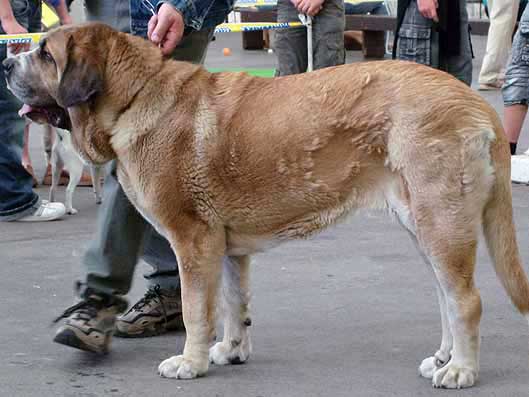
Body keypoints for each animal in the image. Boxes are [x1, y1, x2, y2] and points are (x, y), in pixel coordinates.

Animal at [4, 23, 528, 388]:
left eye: (46, 54)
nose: (8, 64)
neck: (134, 97)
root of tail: (476, 103)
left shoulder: (193, 241)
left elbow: (196, 309)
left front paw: (190, 362)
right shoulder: (225, 249)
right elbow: (235, 302)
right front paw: (231, 350)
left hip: (441, 221)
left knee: (466, 299)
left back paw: (460, 370)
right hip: (423, 223)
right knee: (446, 294)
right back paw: (443, 358)